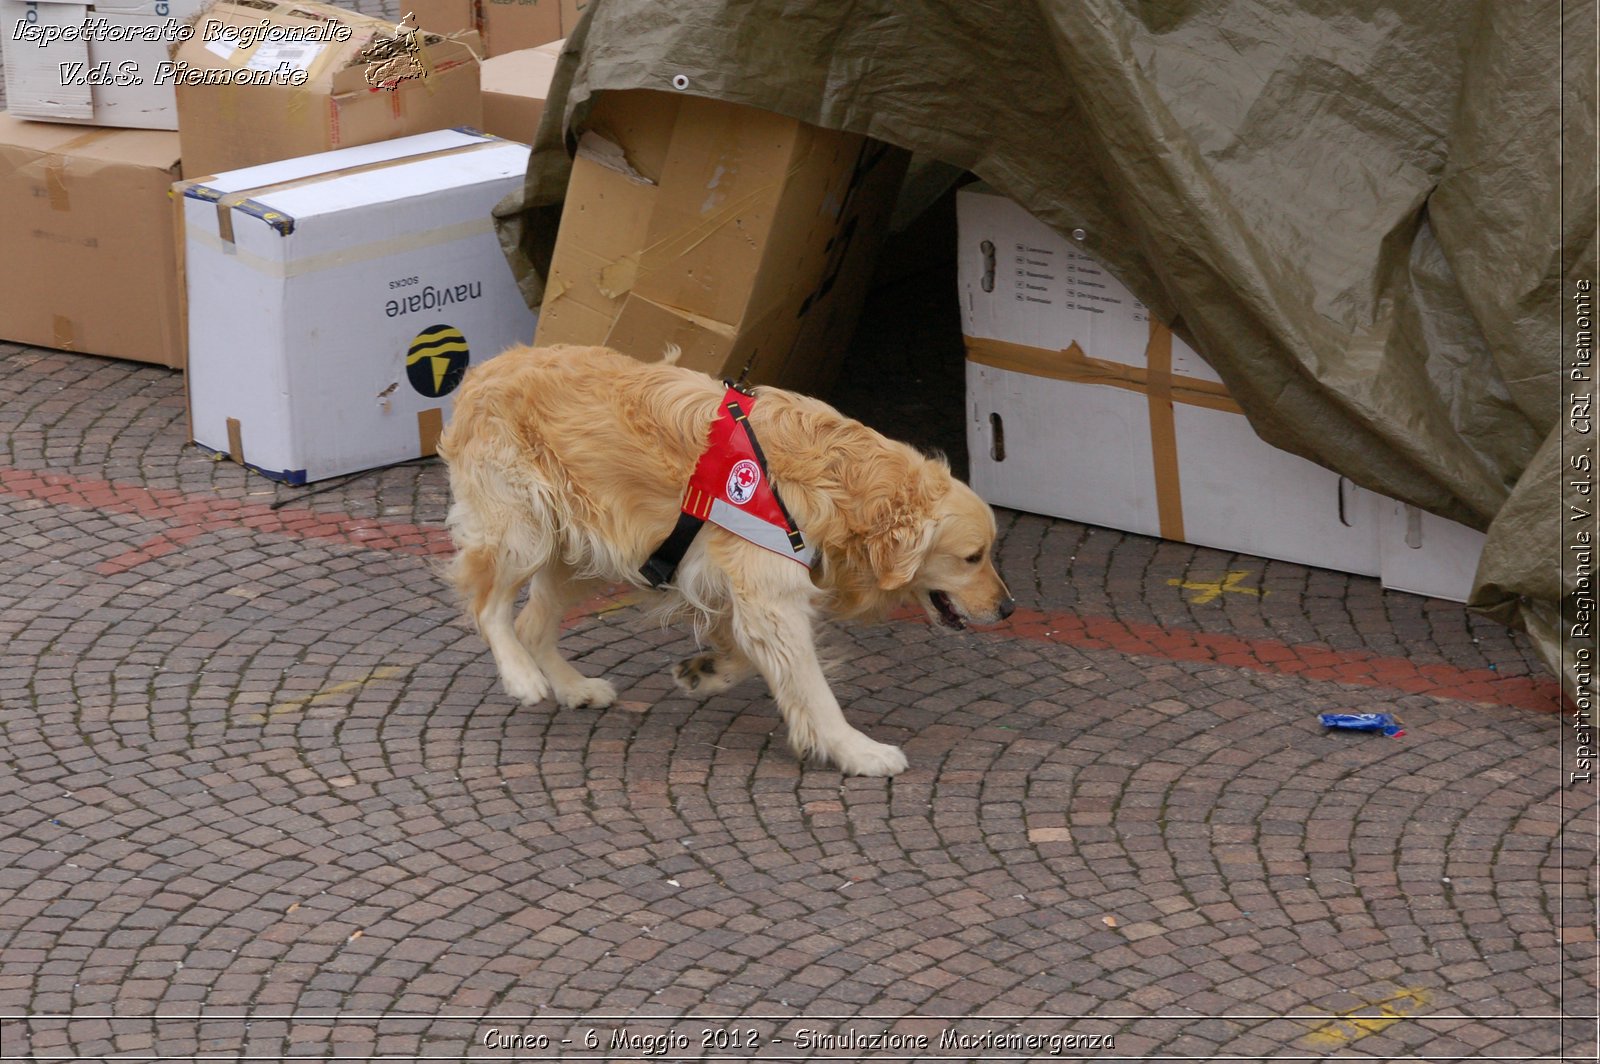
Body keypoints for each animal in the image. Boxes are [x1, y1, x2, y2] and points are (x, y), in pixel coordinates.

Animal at [441, 344, 1011, 777]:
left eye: (988, 553)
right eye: (972, 557)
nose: (1008, 609)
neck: (843, 486)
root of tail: (484, 368)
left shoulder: (730, 587)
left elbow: (744, 650)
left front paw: (707, 671)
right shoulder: (772, 598)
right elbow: (814, 691)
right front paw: (859, 751)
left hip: (593, 552)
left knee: (533, 623)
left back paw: (574, 687)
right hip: (523, 532)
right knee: (490, 607)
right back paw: (522, 677)